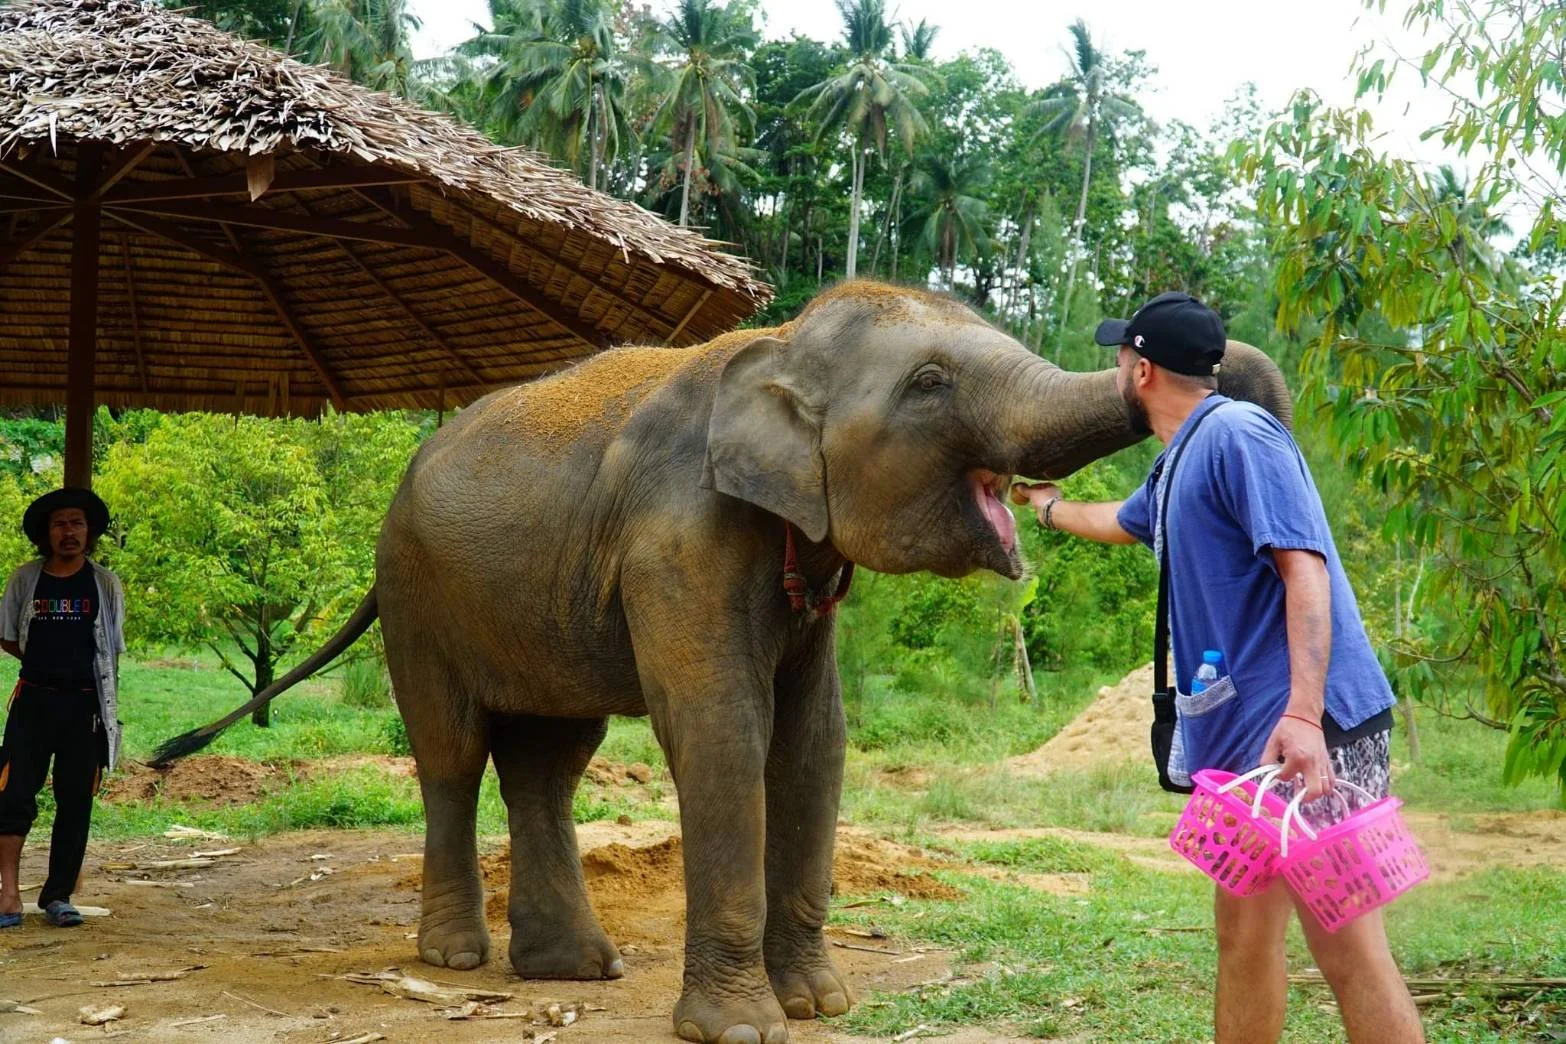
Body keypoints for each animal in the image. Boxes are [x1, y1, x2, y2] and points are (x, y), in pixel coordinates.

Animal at [155, 281, 1291, 1044]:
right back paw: (457, 958)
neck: (777, 345)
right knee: (451, 753)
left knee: (547, 762)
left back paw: (575, 968)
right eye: (929, 384)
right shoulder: (677, 538)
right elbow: (723, 731)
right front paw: (743, 1029)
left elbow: (814, 742)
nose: (1194, 359)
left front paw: (821, 1006)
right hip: (420, 595)